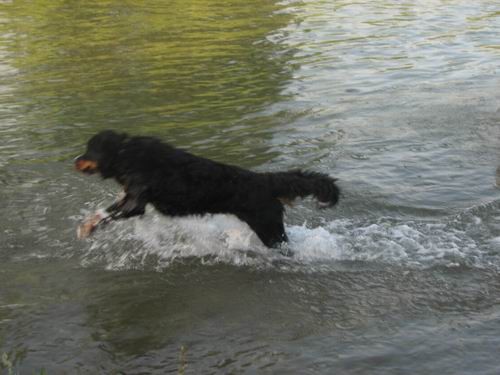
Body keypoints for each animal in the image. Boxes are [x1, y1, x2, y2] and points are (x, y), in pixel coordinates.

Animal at [75, 131, 340, 248]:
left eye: (89, 150)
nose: (75, 159)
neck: (127, 155)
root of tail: (266, 180)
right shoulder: (129, 196)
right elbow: (104, 212)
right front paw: (86, 224)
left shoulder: (136, 204)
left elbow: (107, 216)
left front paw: (87, 229)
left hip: (269, 228)